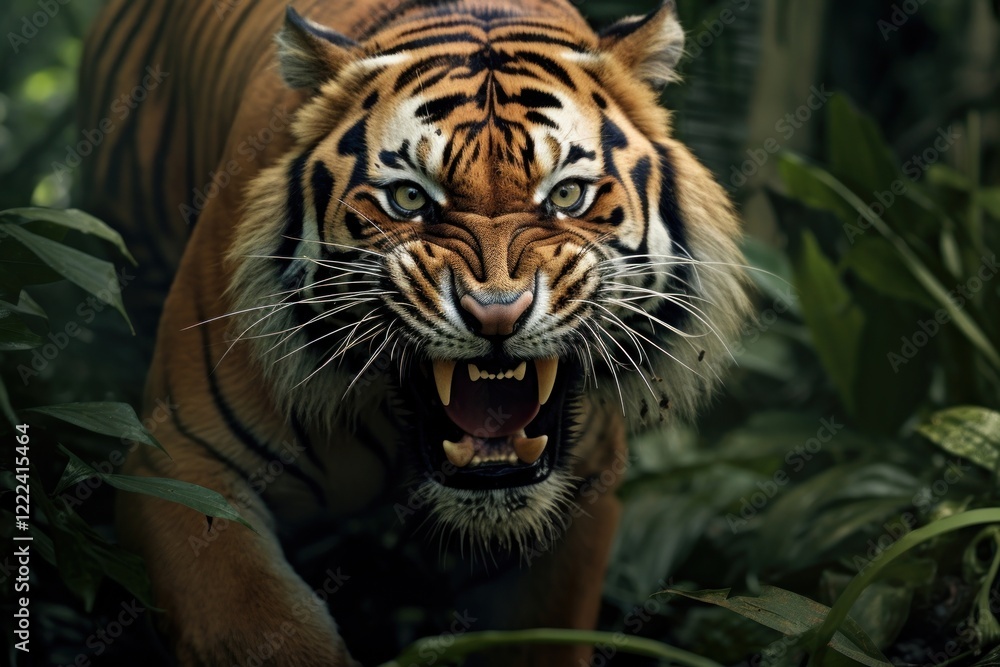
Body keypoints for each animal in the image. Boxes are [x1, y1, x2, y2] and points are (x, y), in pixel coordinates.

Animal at [79, 0, 751, 664]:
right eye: (407, 198)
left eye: (566, 195)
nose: (497, 314)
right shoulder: (179, 463)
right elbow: (262, 632)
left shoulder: (578, 504)